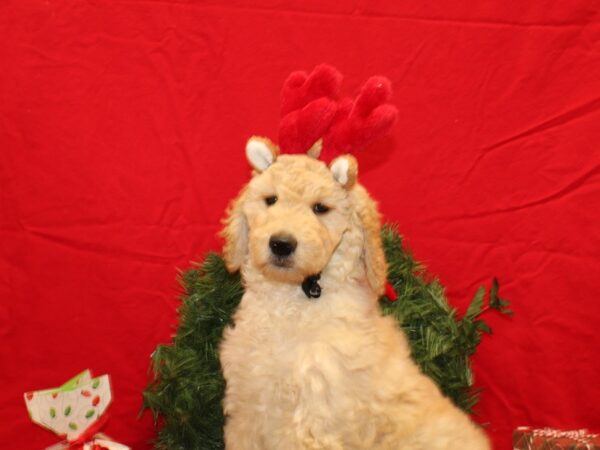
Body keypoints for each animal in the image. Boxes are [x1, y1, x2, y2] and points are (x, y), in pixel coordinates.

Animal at [218, 137, 490, 450]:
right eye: (271, 200)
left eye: (320, 208)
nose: (281, 243)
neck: (291, 300)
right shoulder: (247, 409)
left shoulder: (312, 421)